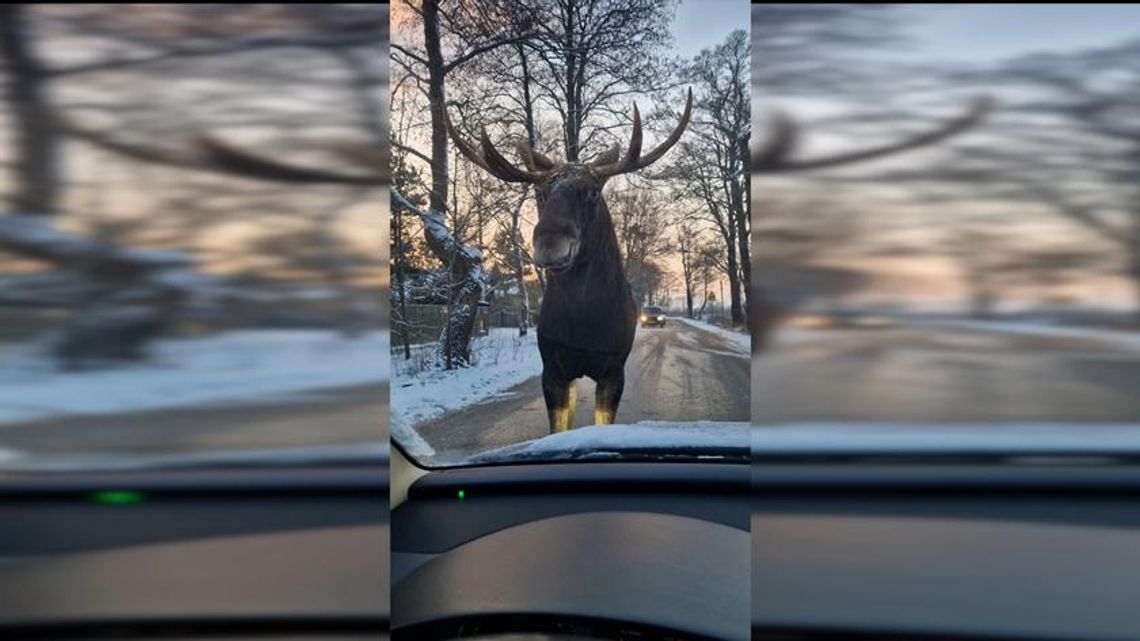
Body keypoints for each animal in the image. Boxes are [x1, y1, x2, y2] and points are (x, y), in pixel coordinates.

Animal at [449, 88, 688, 428]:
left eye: (593, 192)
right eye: (542, 192)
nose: (550, 243)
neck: (584, 324)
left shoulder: (614, 371)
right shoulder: (553, 370)